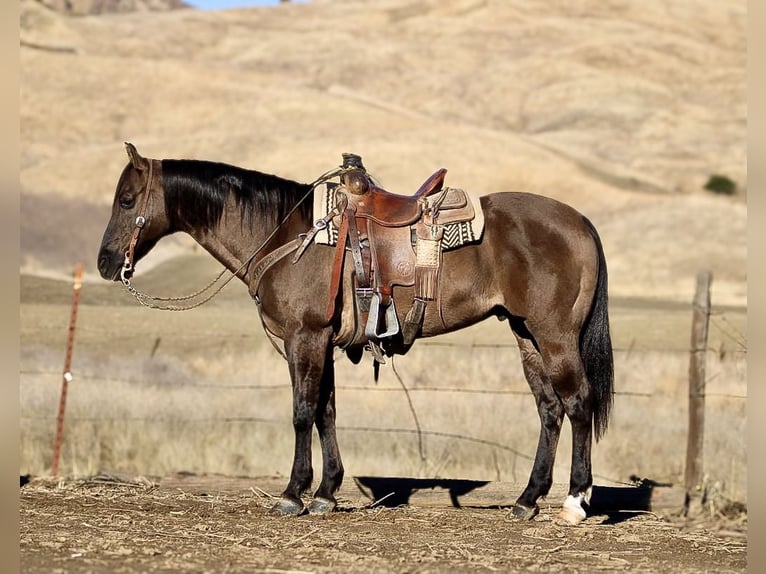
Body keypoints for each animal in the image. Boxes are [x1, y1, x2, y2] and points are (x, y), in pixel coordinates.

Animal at [99, 143, 616, 528]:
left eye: (126, 200)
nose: (105, 263)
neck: (286, 235)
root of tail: (581, 224)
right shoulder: (323, 342)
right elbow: (326, 412)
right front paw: (326, 493)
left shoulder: (304, 338)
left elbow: (302, 411)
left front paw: (293, 494)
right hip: (526, 334)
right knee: (549, 409)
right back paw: (528, 500)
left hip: (555, 336)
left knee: (578, 403)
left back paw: (575, 502)